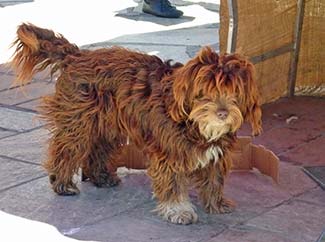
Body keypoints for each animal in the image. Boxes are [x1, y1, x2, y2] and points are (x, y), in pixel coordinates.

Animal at [11, 23, 262, 225]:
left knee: (96, 150)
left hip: (106, 126)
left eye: (234, 92)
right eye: (205, 92)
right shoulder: (168, 155)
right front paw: (178, 210)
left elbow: (214, 180)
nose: (222, 113)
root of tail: (77, 55)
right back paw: (62, 183)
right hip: (79, 123)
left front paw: (216, 204)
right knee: (66, 151)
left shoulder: (216, 156)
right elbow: (173, 184)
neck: (194, 124)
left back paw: (101, 177)